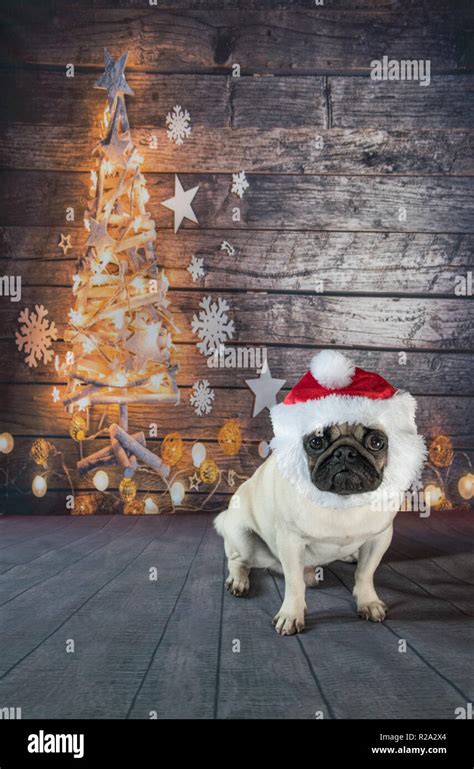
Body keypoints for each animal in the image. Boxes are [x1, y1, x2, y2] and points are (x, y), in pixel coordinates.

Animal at [215, 352, 426, 632]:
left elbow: (365, 573)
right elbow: (294, 584)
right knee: (237, 560)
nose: (345, 452)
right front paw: (291, 615)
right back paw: (238, 581)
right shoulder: (291, 542)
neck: (343, 501)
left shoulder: (379, 538)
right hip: (244, 537)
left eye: (376, 442)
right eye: (316, 442)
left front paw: (368, 601)